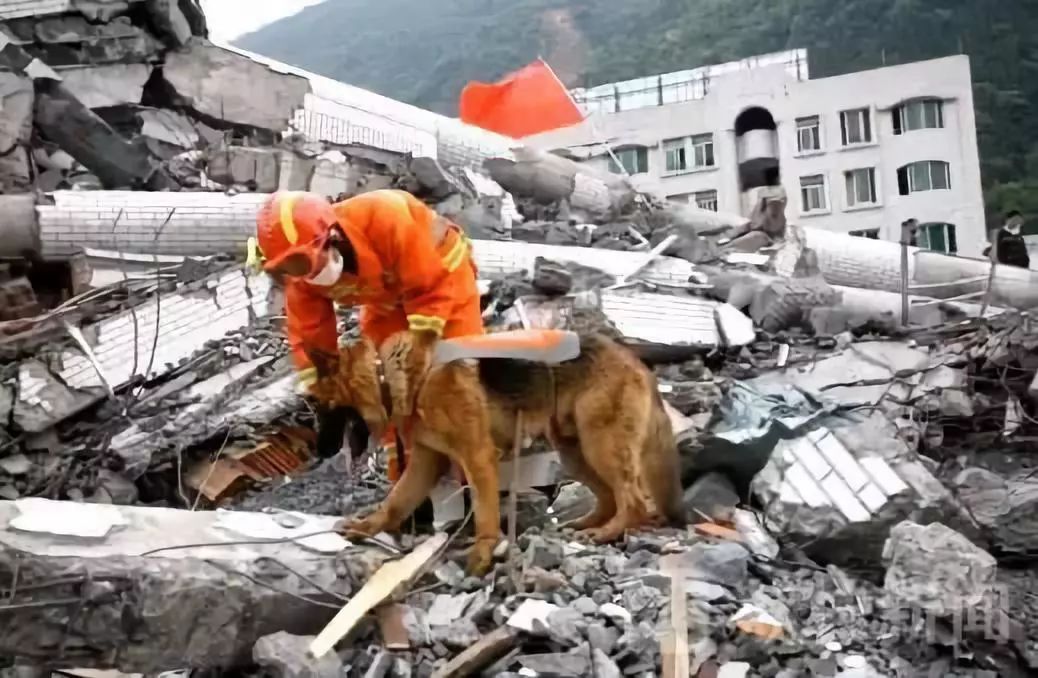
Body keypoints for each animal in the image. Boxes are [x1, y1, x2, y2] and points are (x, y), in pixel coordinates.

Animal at [307, 330, 685, 573]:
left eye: (321, 407)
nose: (316, 451)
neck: (391, 376)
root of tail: (636, 362)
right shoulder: (425, 463)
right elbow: (394, 503)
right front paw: (366, 526)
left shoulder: (478, 457)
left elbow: (485, 513)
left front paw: (483, 554)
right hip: (574, 451)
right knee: (609, 496)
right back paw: (588, 525)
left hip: (599, 445)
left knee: (633, 499)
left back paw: (608, 532)